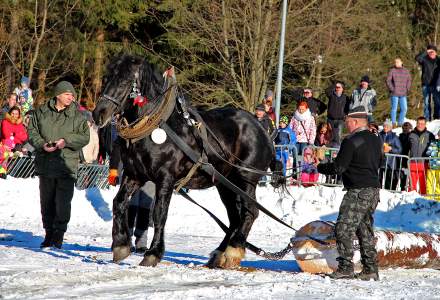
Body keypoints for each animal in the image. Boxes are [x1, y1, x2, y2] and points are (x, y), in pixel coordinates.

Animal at [92, 54, 278, 270]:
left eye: (124, 81)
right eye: (106, 79)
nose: (98, 114)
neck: (157, 126)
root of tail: (262, 129)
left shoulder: (165, 178)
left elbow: (159, 214)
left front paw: (153, 254)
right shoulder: (135, 175)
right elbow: (119, 202)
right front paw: (120, 245)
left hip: (245, 179)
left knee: (250, 212)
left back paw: (233, 251)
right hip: (225, 184)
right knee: (234, 217)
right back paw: (219, 254)